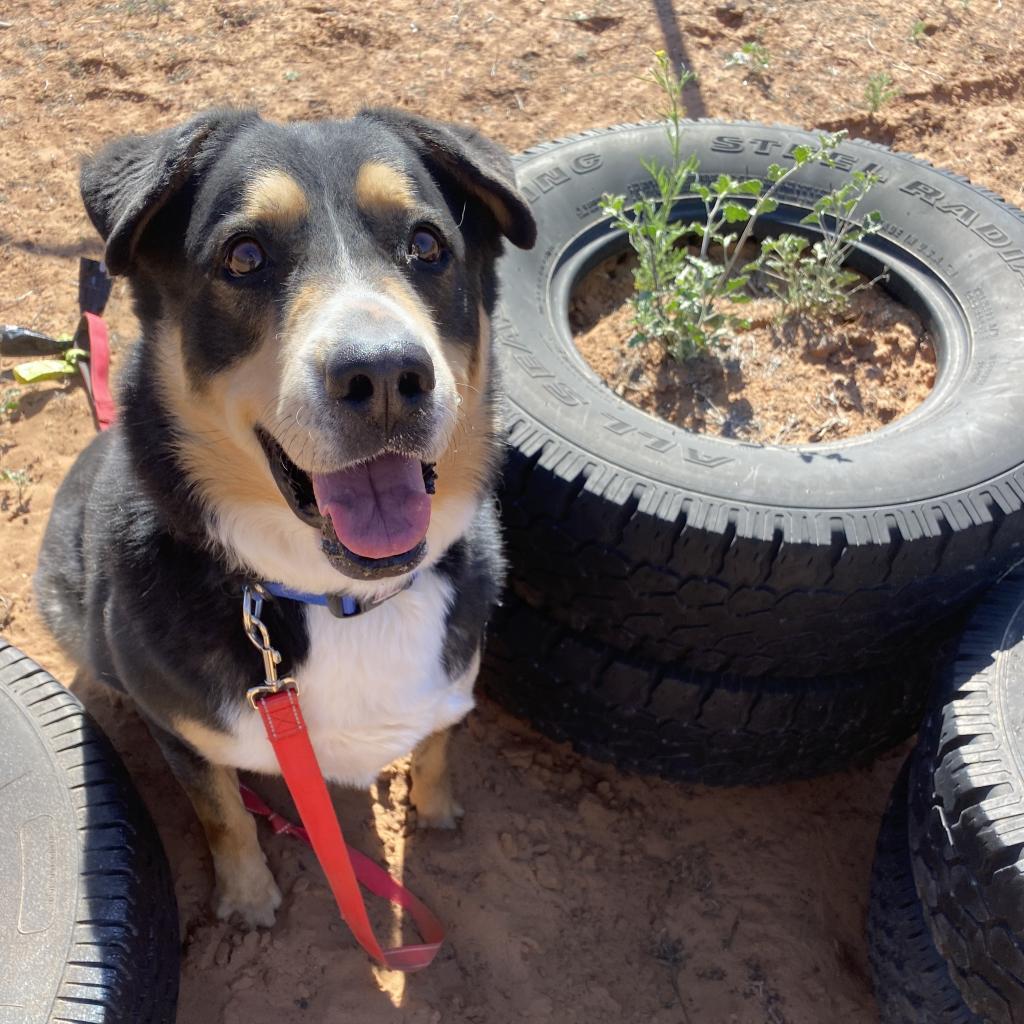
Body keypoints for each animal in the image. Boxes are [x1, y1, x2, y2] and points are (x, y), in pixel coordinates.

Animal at [34, 110, 536, 929]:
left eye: (427, 244)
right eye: (244, 256)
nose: (385, 374)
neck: (342, 601)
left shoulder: (453, 679)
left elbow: (437, 743)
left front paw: (435, 807)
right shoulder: (182, 733)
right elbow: (222, 813)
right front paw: (247, 896)